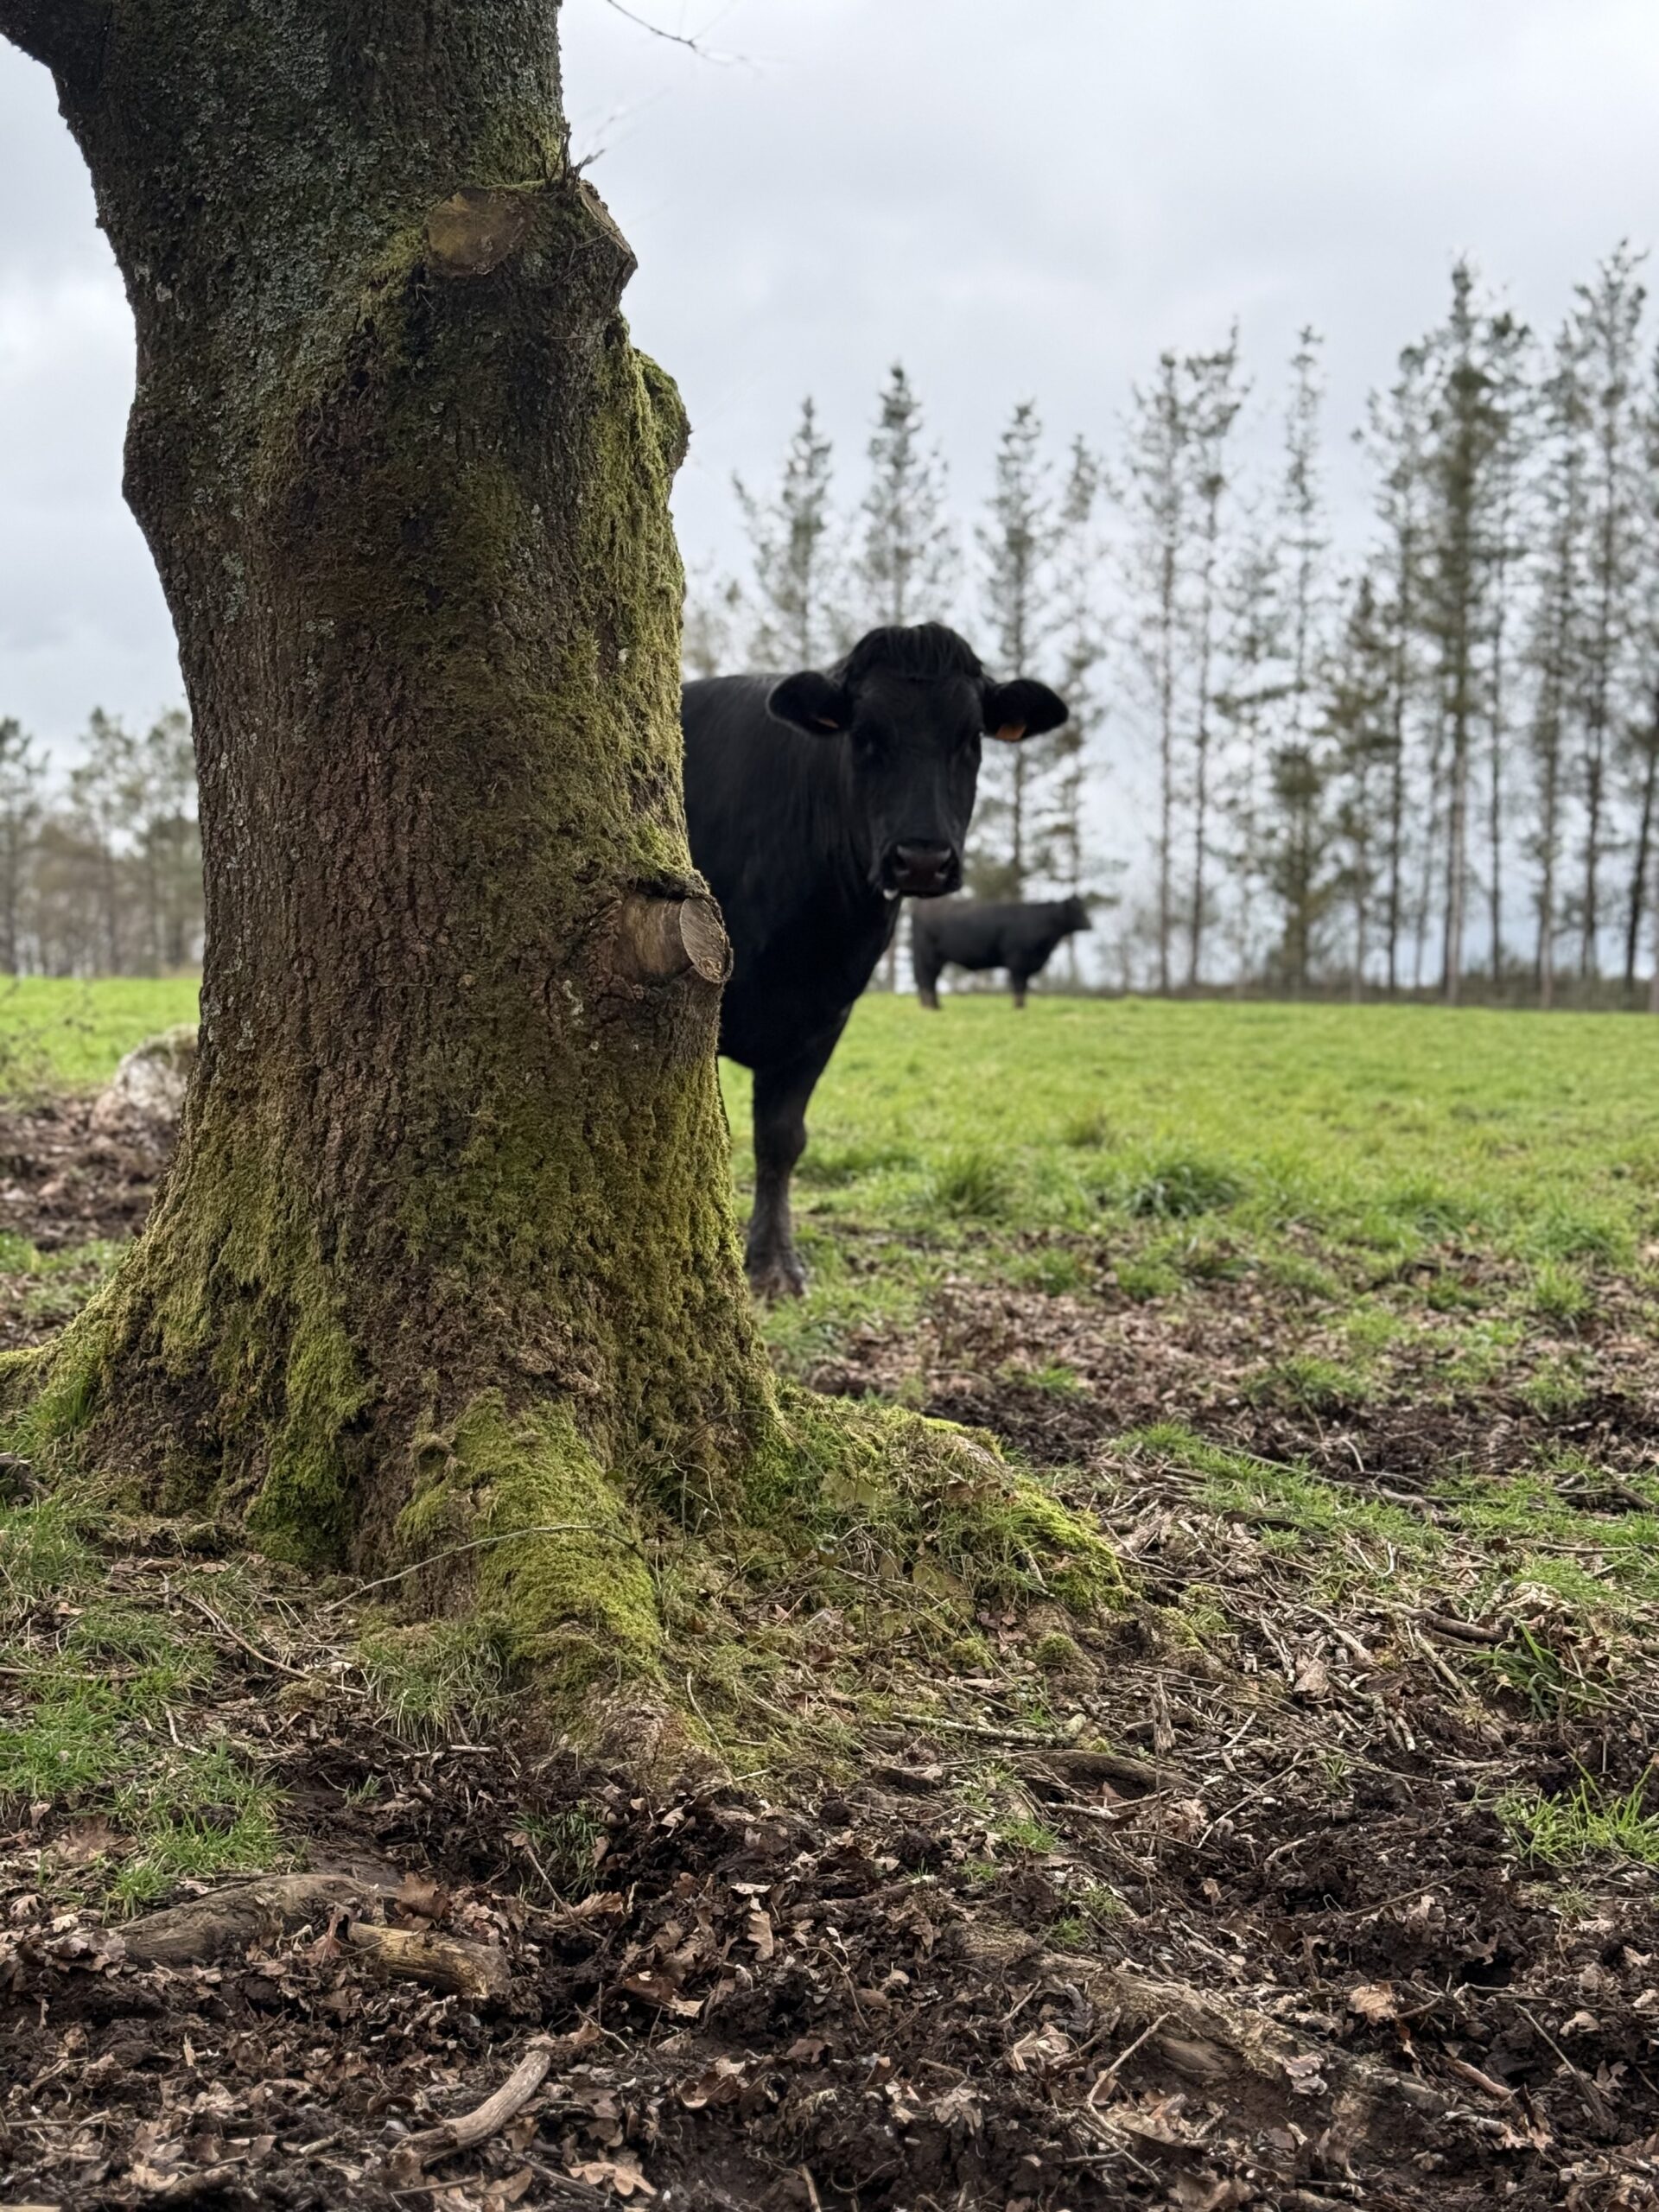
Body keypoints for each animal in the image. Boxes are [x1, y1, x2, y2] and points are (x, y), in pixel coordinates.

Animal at [683, 623, 1067, 1297]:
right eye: (864, 735)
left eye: (970, 739)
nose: (922, 860)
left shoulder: (826, 1016)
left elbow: (781, 1140)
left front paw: (775, 1262)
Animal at [911, 895, 1092, 1010]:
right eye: (1078, 910)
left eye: (1083, 908)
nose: (1090, 924)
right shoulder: (1017, 961)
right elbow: (1019, 986)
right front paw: (1018, 1007)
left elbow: (1024, 986)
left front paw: (1022, 1006)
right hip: (930, 955)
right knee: (928, 979)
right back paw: (932, 1007)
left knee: (927, 980)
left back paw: (934, 1005)